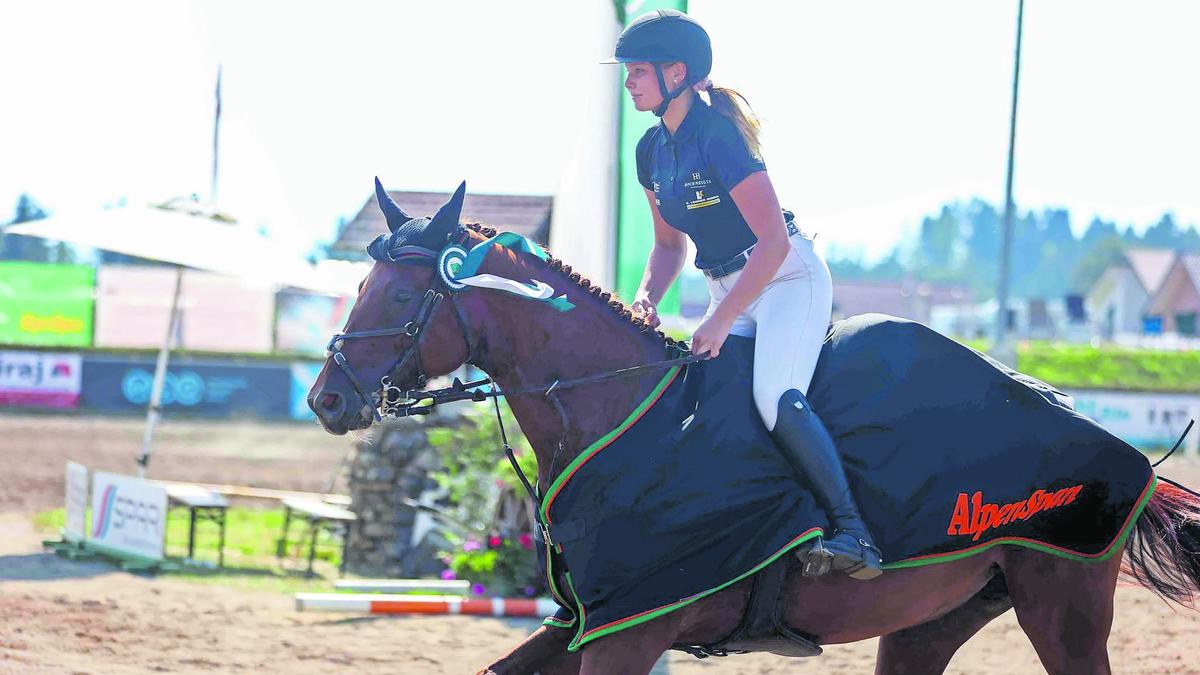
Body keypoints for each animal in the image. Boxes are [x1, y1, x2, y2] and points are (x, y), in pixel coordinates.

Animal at [307, 187, 1200, 672]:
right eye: (361, 283)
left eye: (397, 296)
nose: (326, 399)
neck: (616, 417)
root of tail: (1128, 456)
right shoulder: (582, 622)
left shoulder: (630, 629)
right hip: (934, 617)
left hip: (1062, 604)